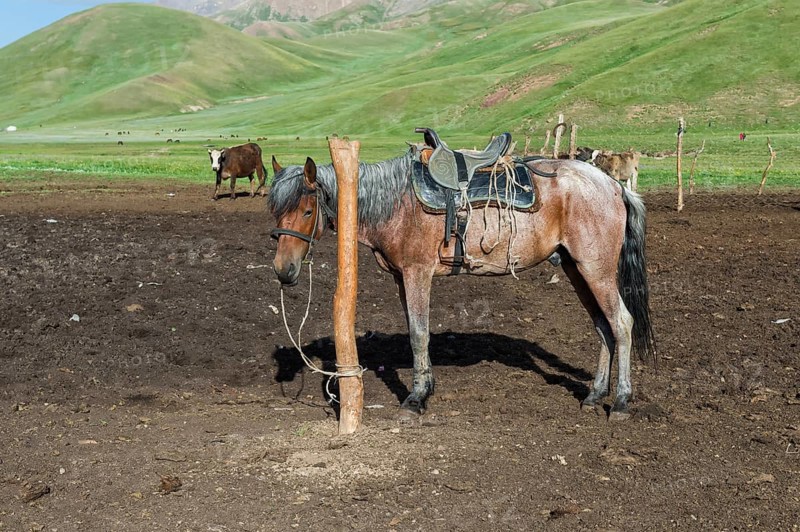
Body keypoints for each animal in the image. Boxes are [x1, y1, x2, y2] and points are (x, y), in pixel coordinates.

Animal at [268, 146, 656, 421]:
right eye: (275, 211)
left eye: (306, 211)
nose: (283, 270)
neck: (396, 203)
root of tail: (614, 186)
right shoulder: (401, 277)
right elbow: (416, 329)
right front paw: (426, 388)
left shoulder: (417, 272)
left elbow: (418, 333)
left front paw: (416, 398)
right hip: (578, 269)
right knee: (603, 326)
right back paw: (594, 395)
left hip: (596, 269)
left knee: (622, 323)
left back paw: (621, 402)